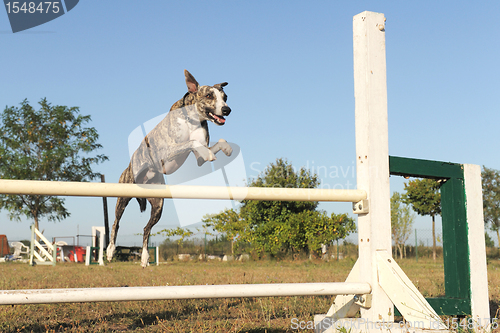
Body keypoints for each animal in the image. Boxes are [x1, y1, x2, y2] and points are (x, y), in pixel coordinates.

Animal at [107, 70, 232, 268]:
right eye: (209, 96)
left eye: (225, 97)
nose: (227, 110)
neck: (192, 119)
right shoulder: (168, 151)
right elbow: (192, 141)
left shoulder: (198, 158)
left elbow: (214, 144)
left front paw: (226, 149)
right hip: (123, 196)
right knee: (115, 224)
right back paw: (110, 251)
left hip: (158, 206)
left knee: (146, 229)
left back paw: (144, 258)